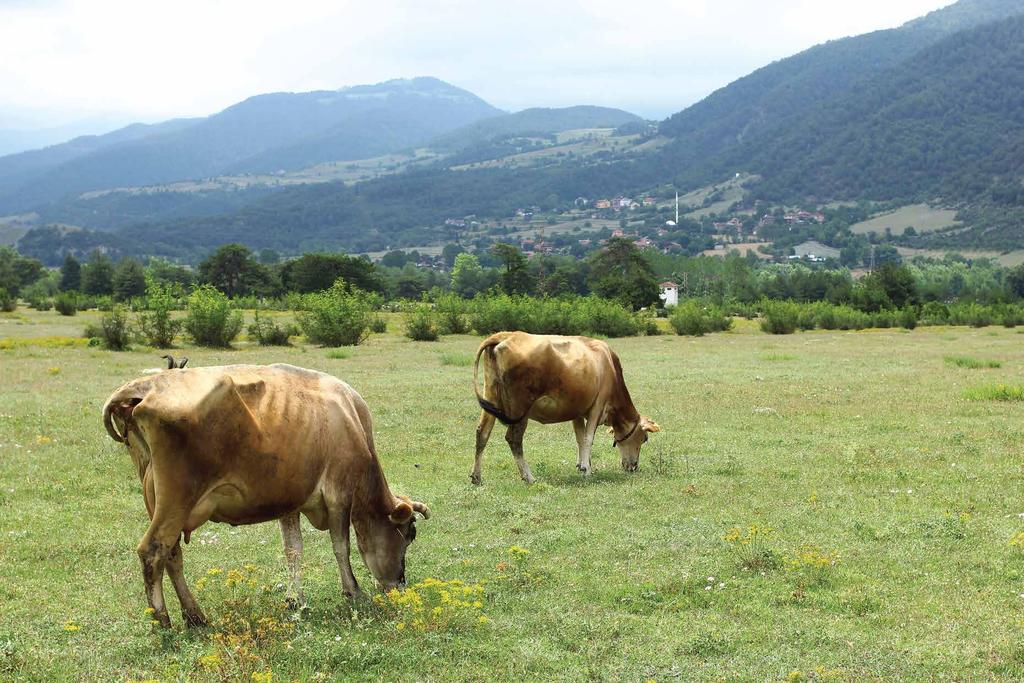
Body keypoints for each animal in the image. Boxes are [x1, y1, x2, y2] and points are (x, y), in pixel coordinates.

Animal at [100, 366, 428, 626]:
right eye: (409, 534)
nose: (400, 583)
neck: (351, 418)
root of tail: (144, 387)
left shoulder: (291, 500)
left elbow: (293, 550)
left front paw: (296, 600)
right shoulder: (339, 493)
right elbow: (341, 546)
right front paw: (353, 592)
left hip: (158, 500)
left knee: (172, 555)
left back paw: (195, 616)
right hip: (177, 497)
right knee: (153, 551)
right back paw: (163, 622)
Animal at [468, 331, 655, 485]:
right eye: (644, 438)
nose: (634, 467)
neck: (610, 366)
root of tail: (504, 335)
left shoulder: (576, 410)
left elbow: (580, 438)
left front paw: (582, 465)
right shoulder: (597, 406)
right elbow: (588, 438)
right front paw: (587, 469)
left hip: (490, 395)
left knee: (482, 433)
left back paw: (477, 477)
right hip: (520, 410)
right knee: (514, 439)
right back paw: (528, 477)